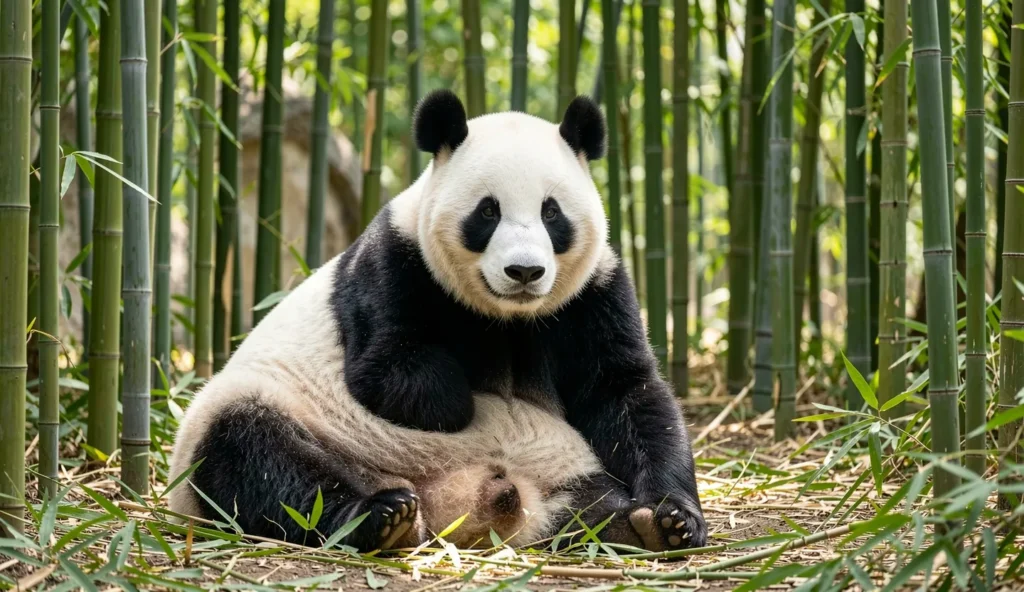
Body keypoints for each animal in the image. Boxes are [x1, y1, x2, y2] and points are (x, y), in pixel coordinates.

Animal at [168, 90, 707, 552]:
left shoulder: (593, 293)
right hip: (253, 414)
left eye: (552, 213)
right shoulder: (392, 264)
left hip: (563, 468)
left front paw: (675, 517)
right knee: (260, 460)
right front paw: (468, 392)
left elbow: (624, 391)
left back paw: (635, 526)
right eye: (488, 211)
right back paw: (381, 517)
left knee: (588, 503)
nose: (525, 272)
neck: (510, 316)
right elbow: (393, 375)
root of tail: (451, 500)